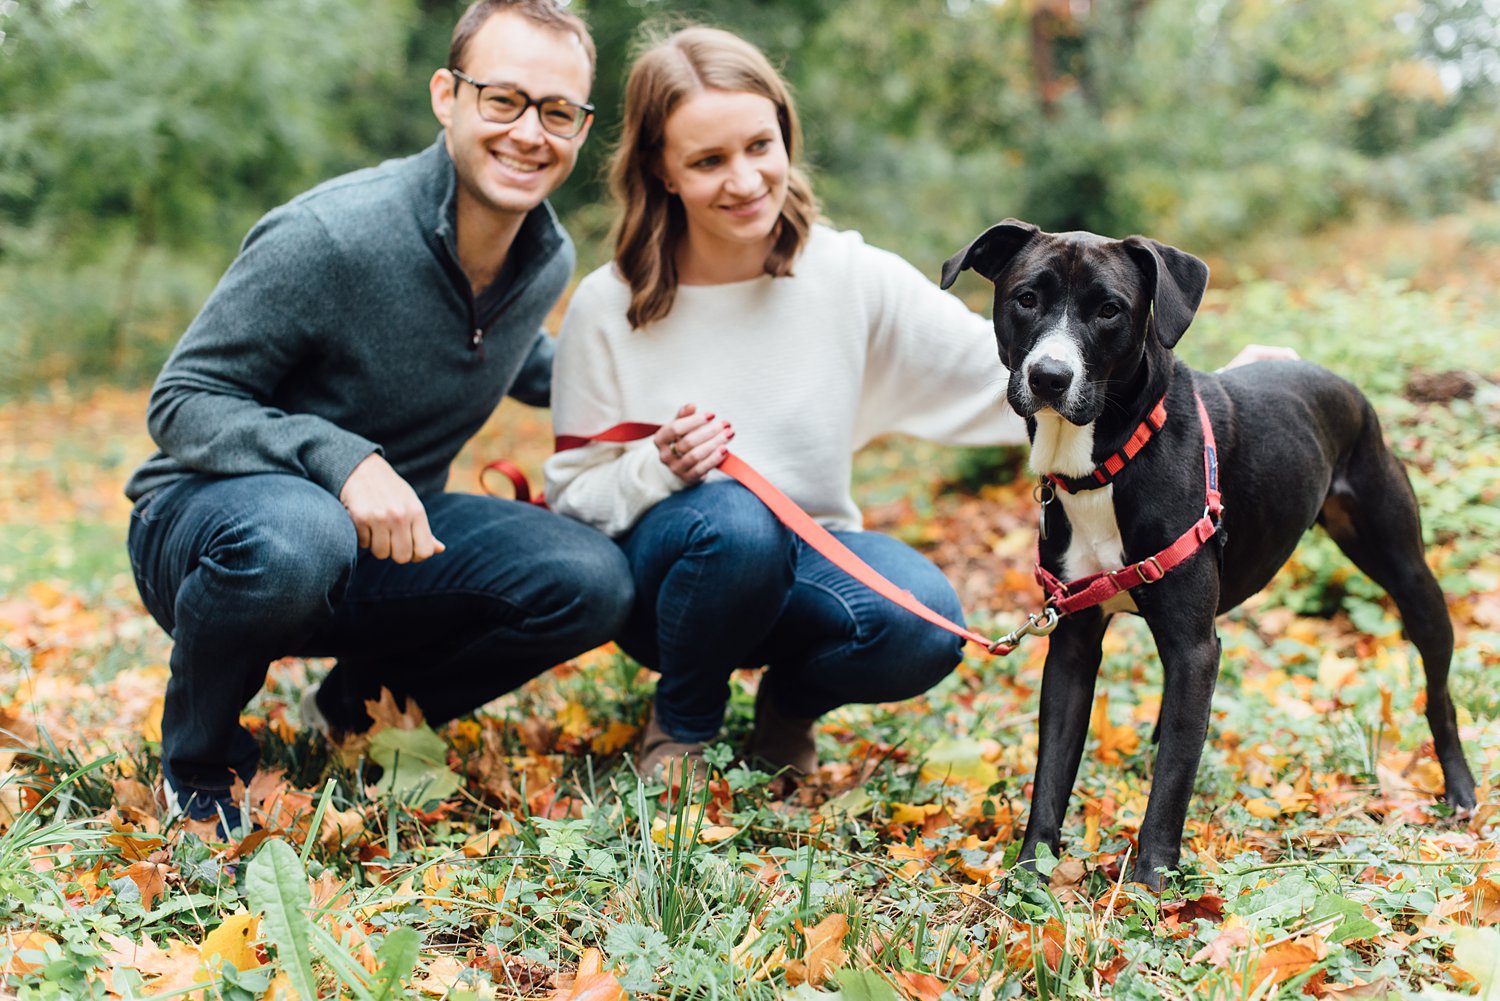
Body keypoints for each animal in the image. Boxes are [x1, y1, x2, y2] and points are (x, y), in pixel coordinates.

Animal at [942, 220, 1470, 894]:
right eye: (1026, 299)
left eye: (1110, 310)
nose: (1049, 377)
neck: (1107, 463)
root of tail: (1337, 380)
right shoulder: (1072, 641)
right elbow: (1053, 768)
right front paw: (1033, 872)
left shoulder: (1193, 650)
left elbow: (1172, 781)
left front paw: (1150, 888)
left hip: (1408, 573)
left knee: (1439, 690)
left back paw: (1460, 789)